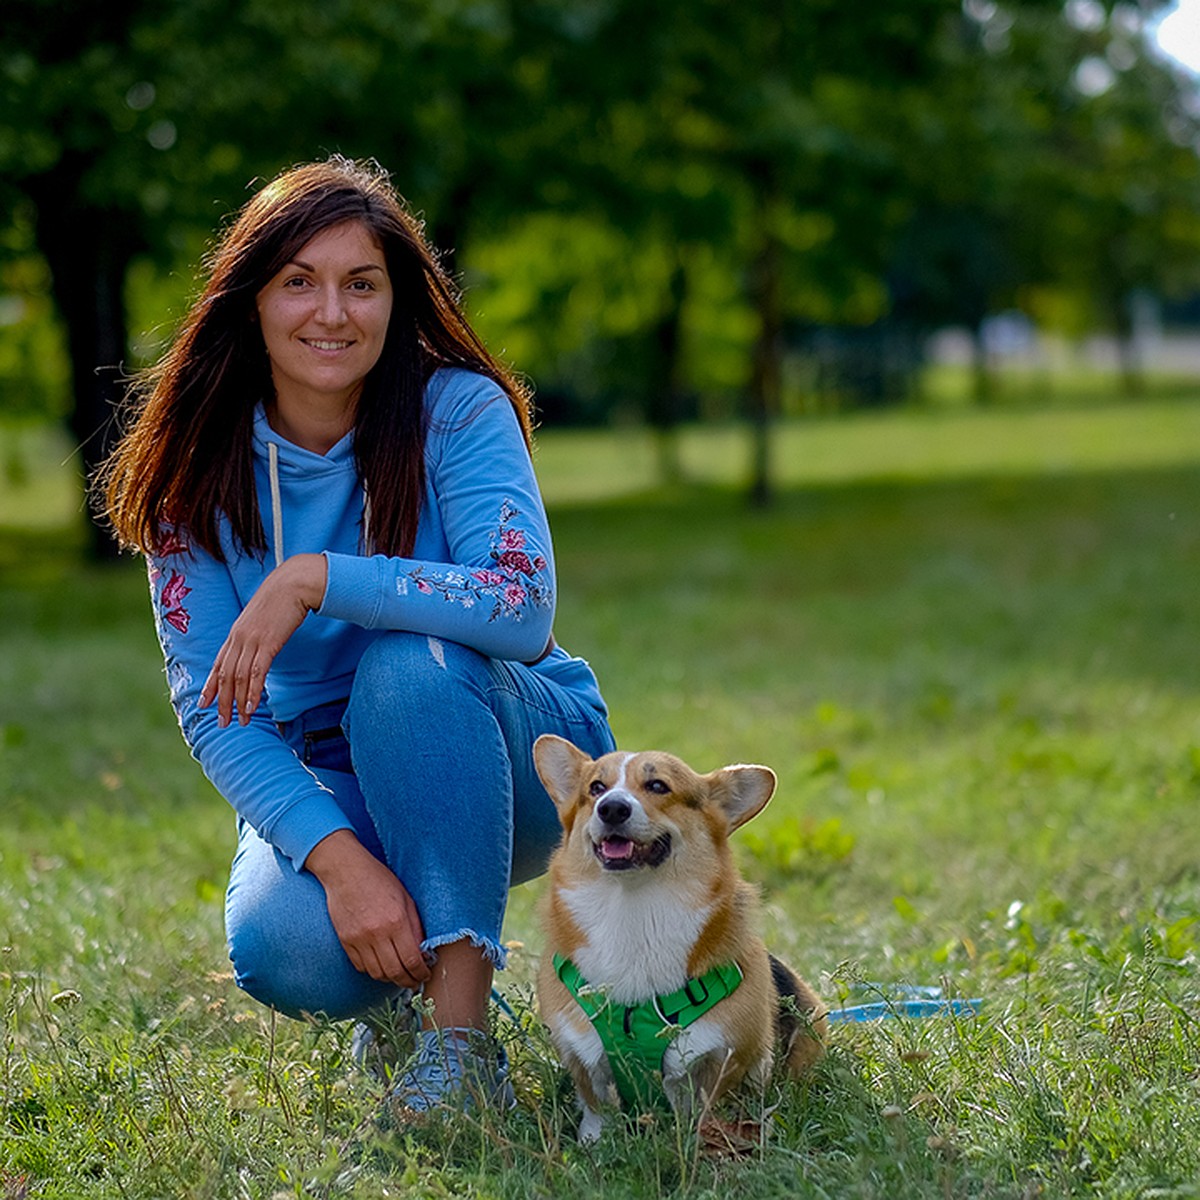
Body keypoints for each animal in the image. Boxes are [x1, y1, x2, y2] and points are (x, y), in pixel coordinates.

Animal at [535, 729, 825, 1142]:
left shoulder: (723, 1056)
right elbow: (596, 1104)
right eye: (595, 788)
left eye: (658, 786)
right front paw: (594, 1143)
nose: (611, 808)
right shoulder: (579, 1052)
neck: (633, 912)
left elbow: (702, 1105)